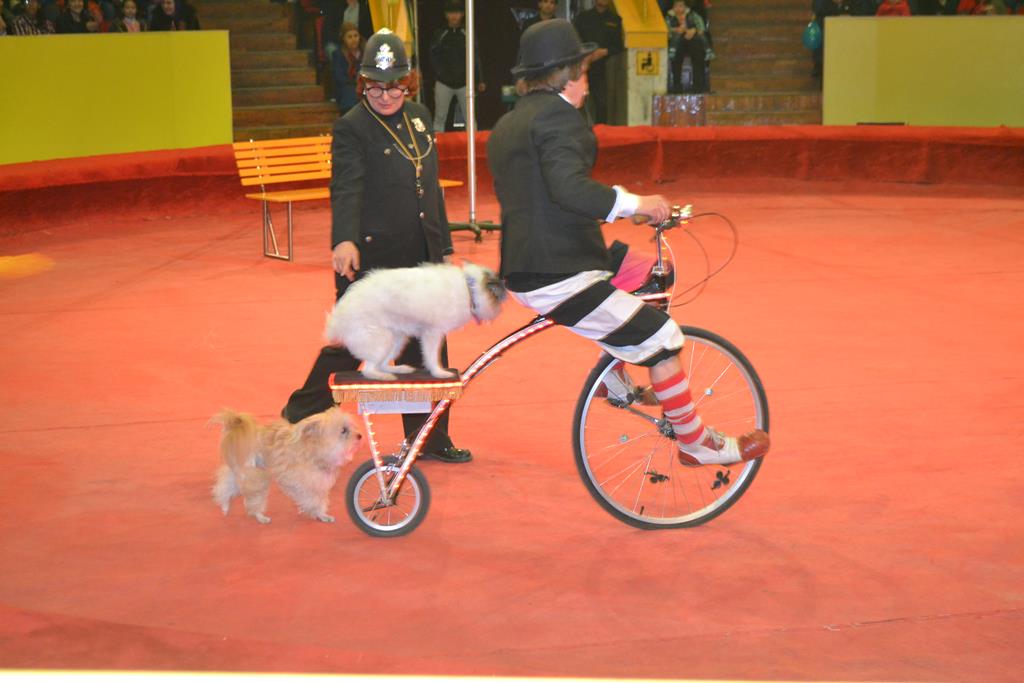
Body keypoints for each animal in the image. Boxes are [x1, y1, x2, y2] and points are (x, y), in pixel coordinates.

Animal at [211, 407, 361, 524]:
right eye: (343, 430)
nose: (359, 436)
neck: (313, 450)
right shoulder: (304, 483)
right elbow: (313, 500)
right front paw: (317, 513)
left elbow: (315, 499)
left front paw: (317, 513)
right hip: (256, 477)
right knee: (252, 500)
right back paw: (260, 517)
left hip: (239, 472)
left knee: (225, 486)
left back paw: (225, 506)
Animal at [324, 262, 506, 381]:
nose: (504, 302)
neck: (470, 288)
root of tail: (338, 319)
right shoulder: (433, 333)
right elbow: (432, 357)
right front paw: (439, 373)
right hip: (381, 339)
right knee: (369, 369)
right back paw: (382, 376)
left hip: (396, 339)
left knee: (381, 363)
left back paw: (398, 369)